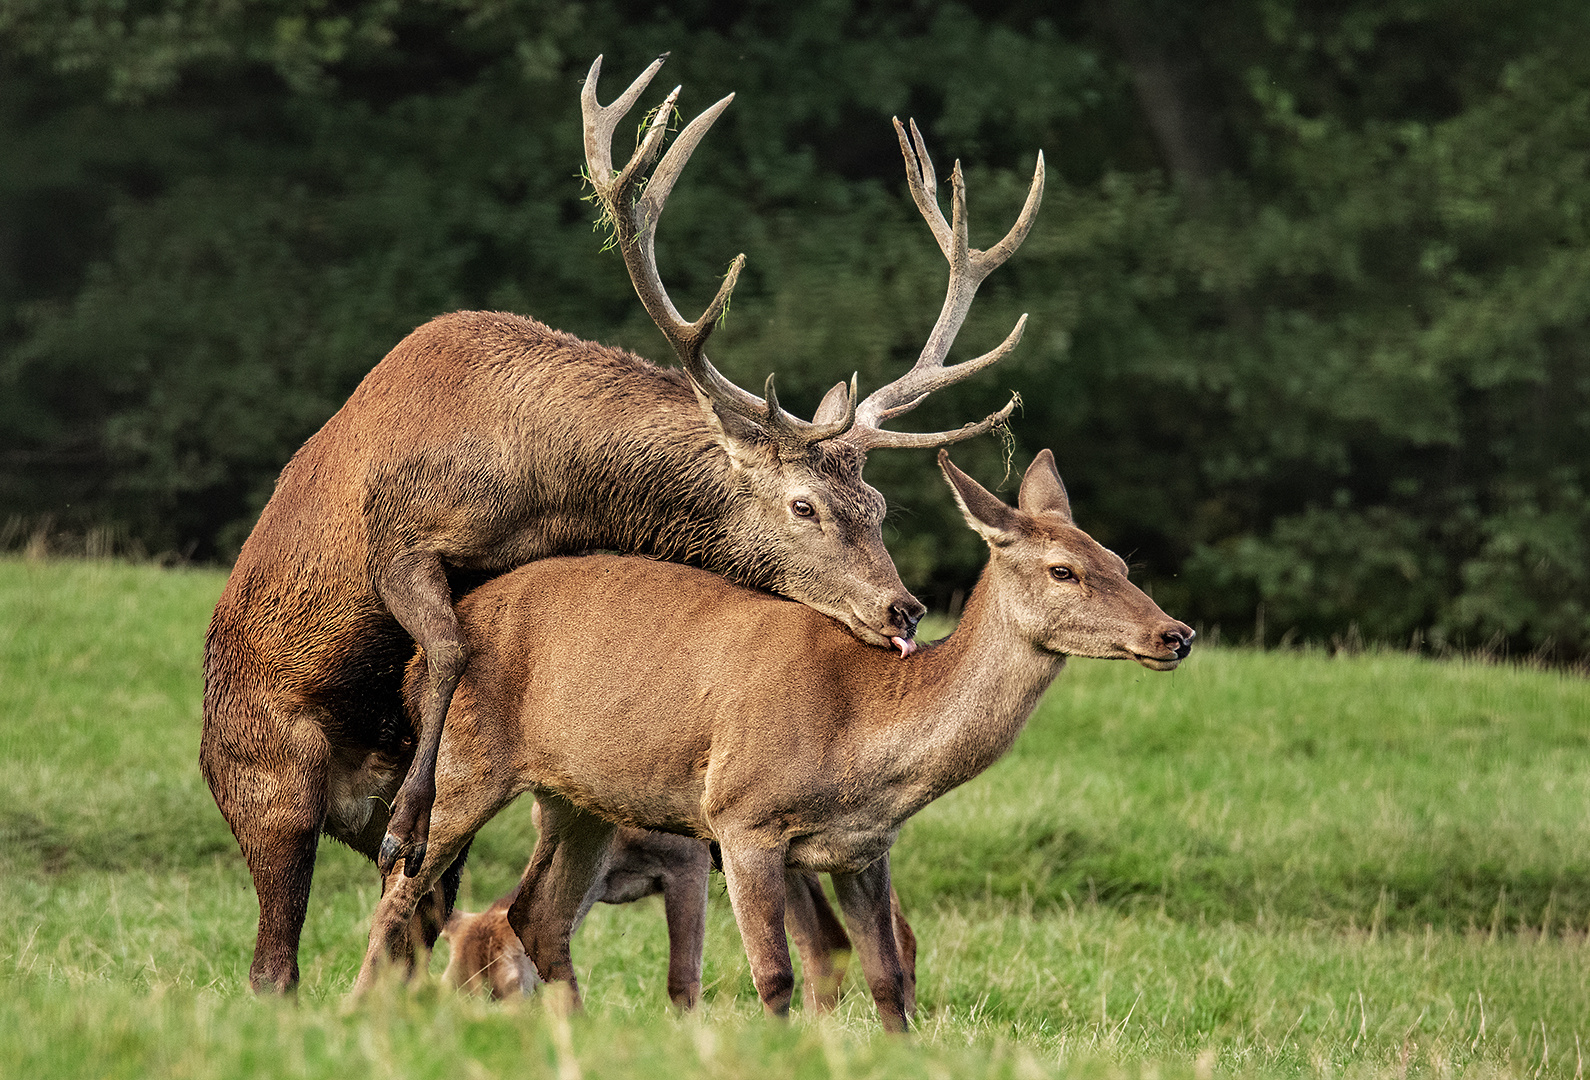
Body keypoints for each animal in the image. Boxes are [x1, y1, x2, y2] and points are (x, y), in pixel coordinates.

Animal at [198, 54, 1043, 992]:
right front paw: (406, 819)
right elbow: (449, 645)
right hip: (266, 787)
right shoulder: (399, 537)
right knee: (277, 954)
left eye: (881, 506)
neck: (544, 480)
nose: (903, 609)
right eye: (803, 504)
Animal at [351, 451, 1195, 1037]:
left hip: (577, 797)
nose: (1176, 634)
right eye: (1064, 570)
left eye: (1121, 562)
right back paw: (354, 1011)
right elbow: (775, 975)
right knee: (399, 889)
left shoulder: (864, 848)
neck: (865, 735)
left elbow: (887, 975)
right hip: (468, 761)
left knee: (539, 916)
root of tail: (427, 647)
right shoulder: (742, 819)